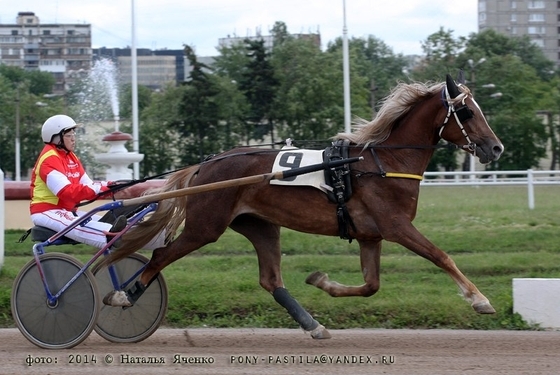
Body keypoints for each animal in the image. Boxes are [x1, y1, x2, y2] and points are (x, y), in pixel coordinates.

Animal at [107, 75, 500, 340]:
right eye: (466, 111)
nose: (495, 148)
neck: (380, 162)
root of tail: (206, 165)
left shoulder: (370, 236)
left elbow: (371, 286)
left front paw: (322, 281)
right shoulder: (396, 226)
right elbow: (441, 256)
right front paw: (479, 299)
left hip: (260, 225)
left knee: (270, 279)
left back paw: (314, 325)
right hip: (206, 226)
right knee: (161, 257)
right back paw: (125, 294)